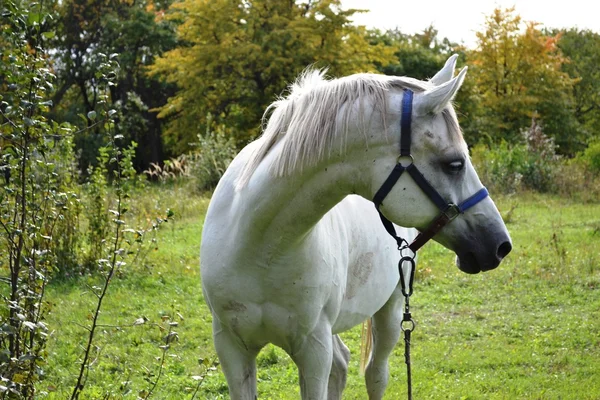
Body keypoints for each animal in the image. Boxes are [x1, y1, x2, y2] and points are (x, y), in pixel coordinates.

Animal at [202, 54, 510, 398]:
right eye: (454, 164)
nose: (500, 245)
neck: (262, 246)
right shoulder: (232, 348)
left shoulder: (314, 350)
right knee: (342, 364)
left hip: (390, 312)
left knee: (374, 373)